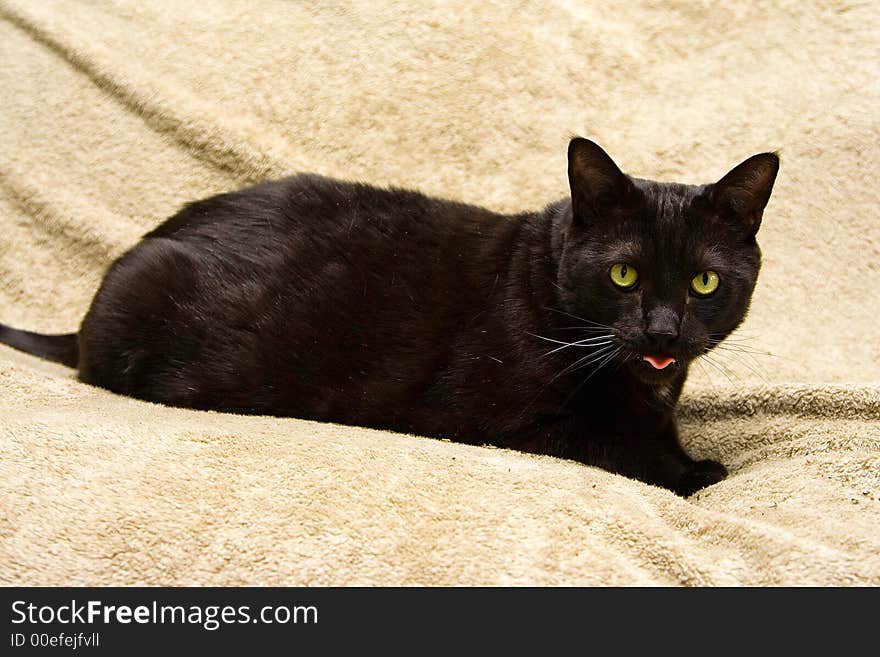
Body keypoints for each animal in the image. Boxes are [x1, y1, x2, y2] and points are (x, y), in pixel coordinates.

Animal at [3, 140, 780, 498]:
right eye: (624, 275)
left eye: (705, 282)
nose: (663, 330)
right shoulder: (508, 418)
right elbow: (617, 443)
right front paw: (697, 474)